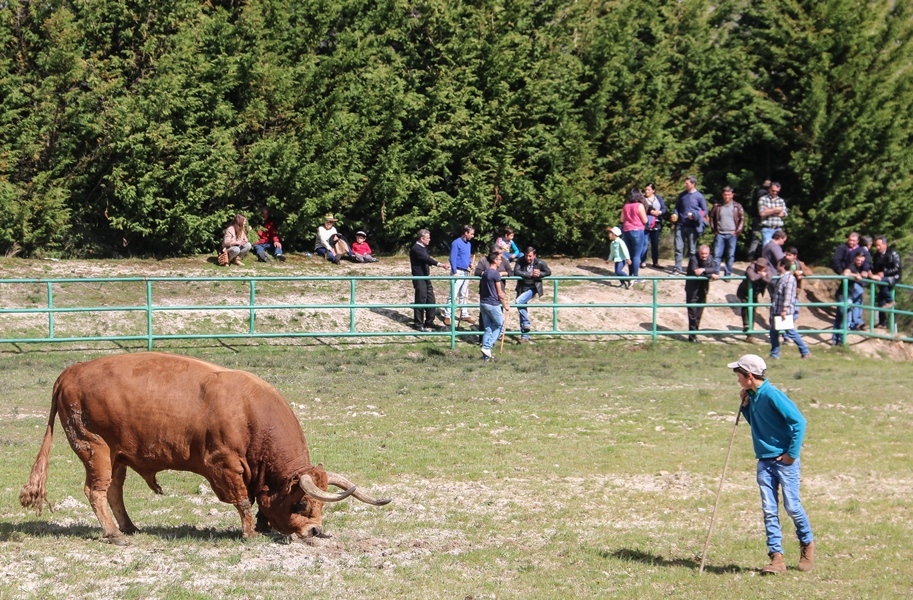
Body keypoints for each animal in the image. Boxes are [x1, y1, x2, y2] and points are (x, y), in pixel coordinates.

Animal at [21, 352, 384, 544]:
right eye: (302, 503)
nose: (315, 530)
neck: (249, 411)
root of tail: (71, 372)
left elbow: (257, 499)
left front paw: (263, 524)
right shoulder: (224, 466)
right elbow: (243, 500)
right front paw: (250, 533)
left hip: (117, 456)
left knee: (113, 492)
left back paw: (129, 527)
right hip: (95, 450)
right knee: (95, 491)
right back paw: (114, 533)